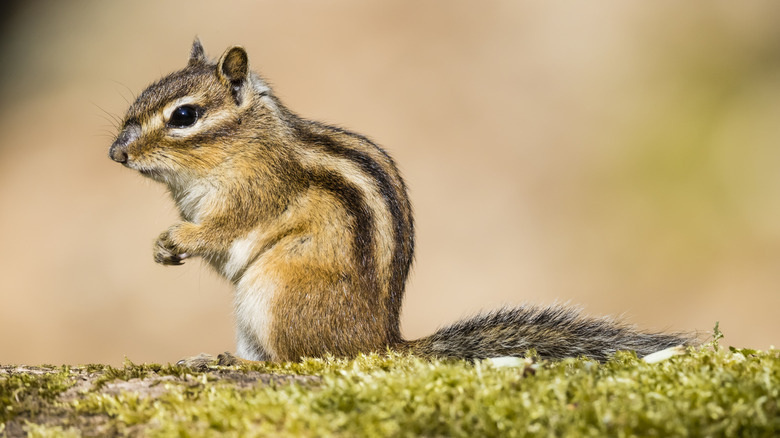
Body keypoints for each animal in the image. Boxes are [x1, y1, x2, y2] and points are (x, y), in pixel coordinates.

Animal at [109, 40, 695, 366]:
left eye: (184, 116)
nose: (117, 152)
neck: (243, 144)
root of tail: (380, 342)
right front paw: (162, 247)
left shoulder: (257, 192)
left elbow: (222, 229)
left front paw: (177, 239)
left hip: (274, 293)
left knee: (296, 362)